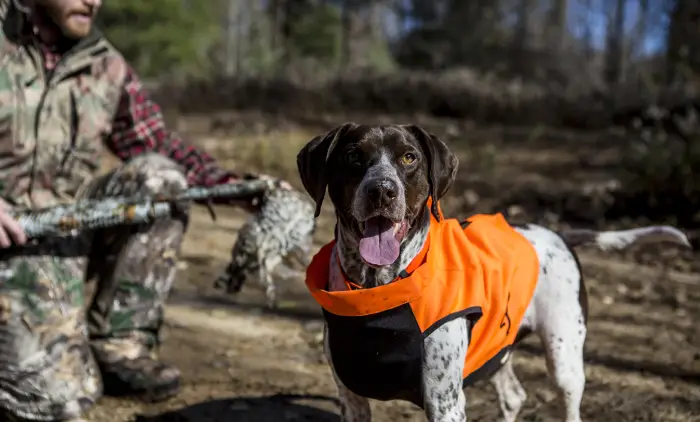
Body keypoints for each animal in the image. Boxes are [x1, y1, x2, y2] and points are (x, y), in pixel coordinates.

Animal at [294, 122, 688, 422]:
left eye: (409, 157)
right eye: (353, 156)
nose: (382, 191)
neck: (375, 288)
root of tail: (557, 233)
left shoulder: (444, 404)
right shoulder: (352, 399)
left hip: (564, 359)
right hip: (498, 348)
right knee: (514, 395)